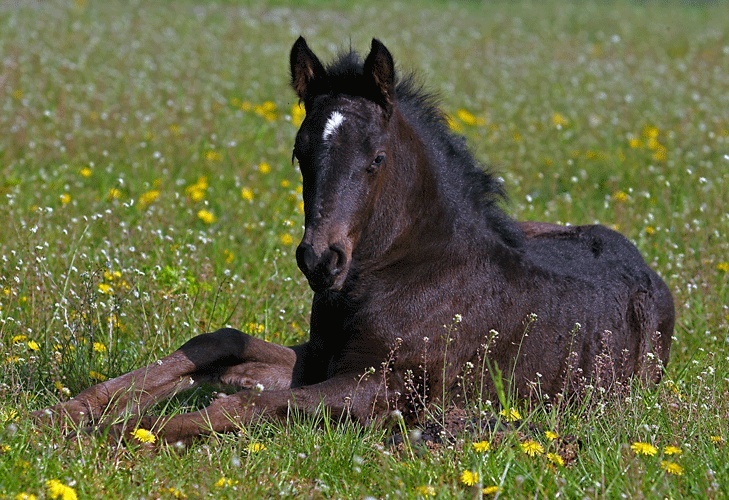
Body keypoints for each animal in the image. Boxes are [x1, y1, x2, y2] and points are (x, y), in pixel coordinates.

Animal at [31, 37, 672, 444]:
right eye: (299, 153)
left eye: (377, 159)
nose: (320, 259)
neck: (411, 270)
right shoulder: (321, 356)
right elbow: (222, 342)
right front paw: (61, 414)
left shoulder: (380, 389)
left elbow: (254, 403)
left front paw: (118, 430)